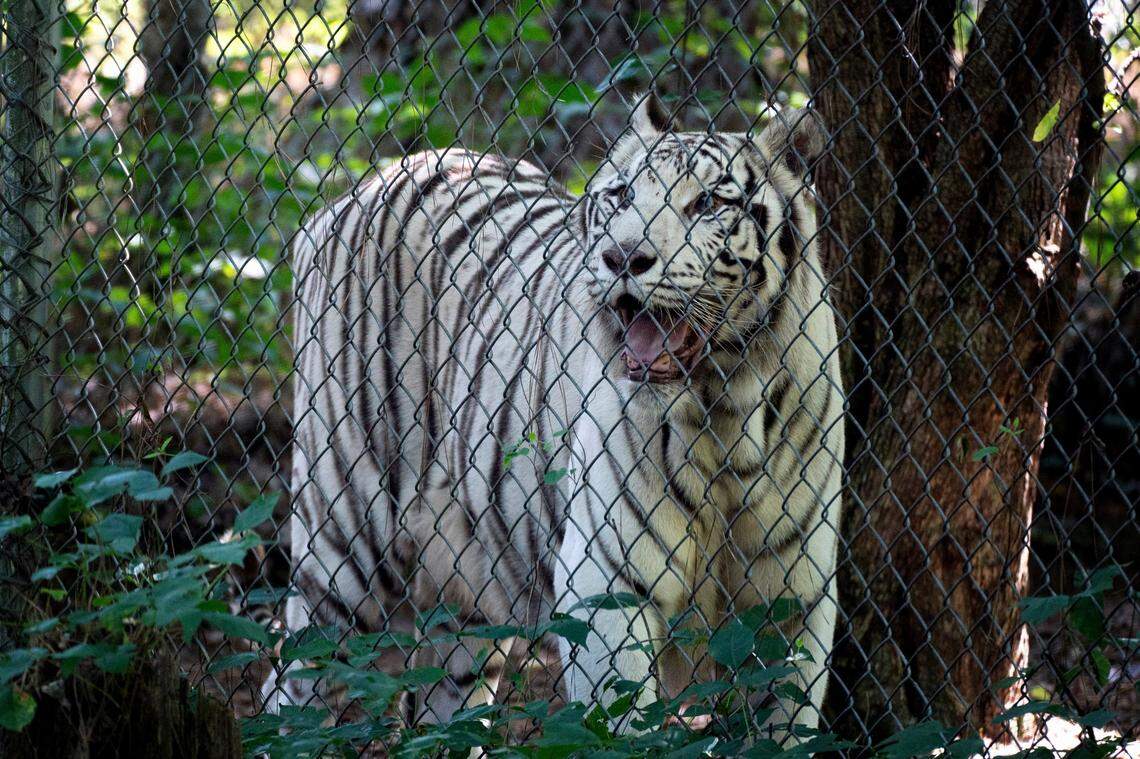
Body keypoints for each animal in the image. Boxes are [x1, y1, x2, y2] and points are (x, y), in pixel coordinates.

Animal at [264, 92, 845, 742]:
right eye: (622, 195)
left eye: (708, 204)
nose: (622, 257)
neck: (726, 410)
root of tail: (354, 192)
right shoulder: (605, 588)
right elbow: (624, 731)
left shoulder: (795, 603)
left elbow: (787, 727)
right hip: (347, 555)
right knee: (292, 690)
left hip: (462, 611)